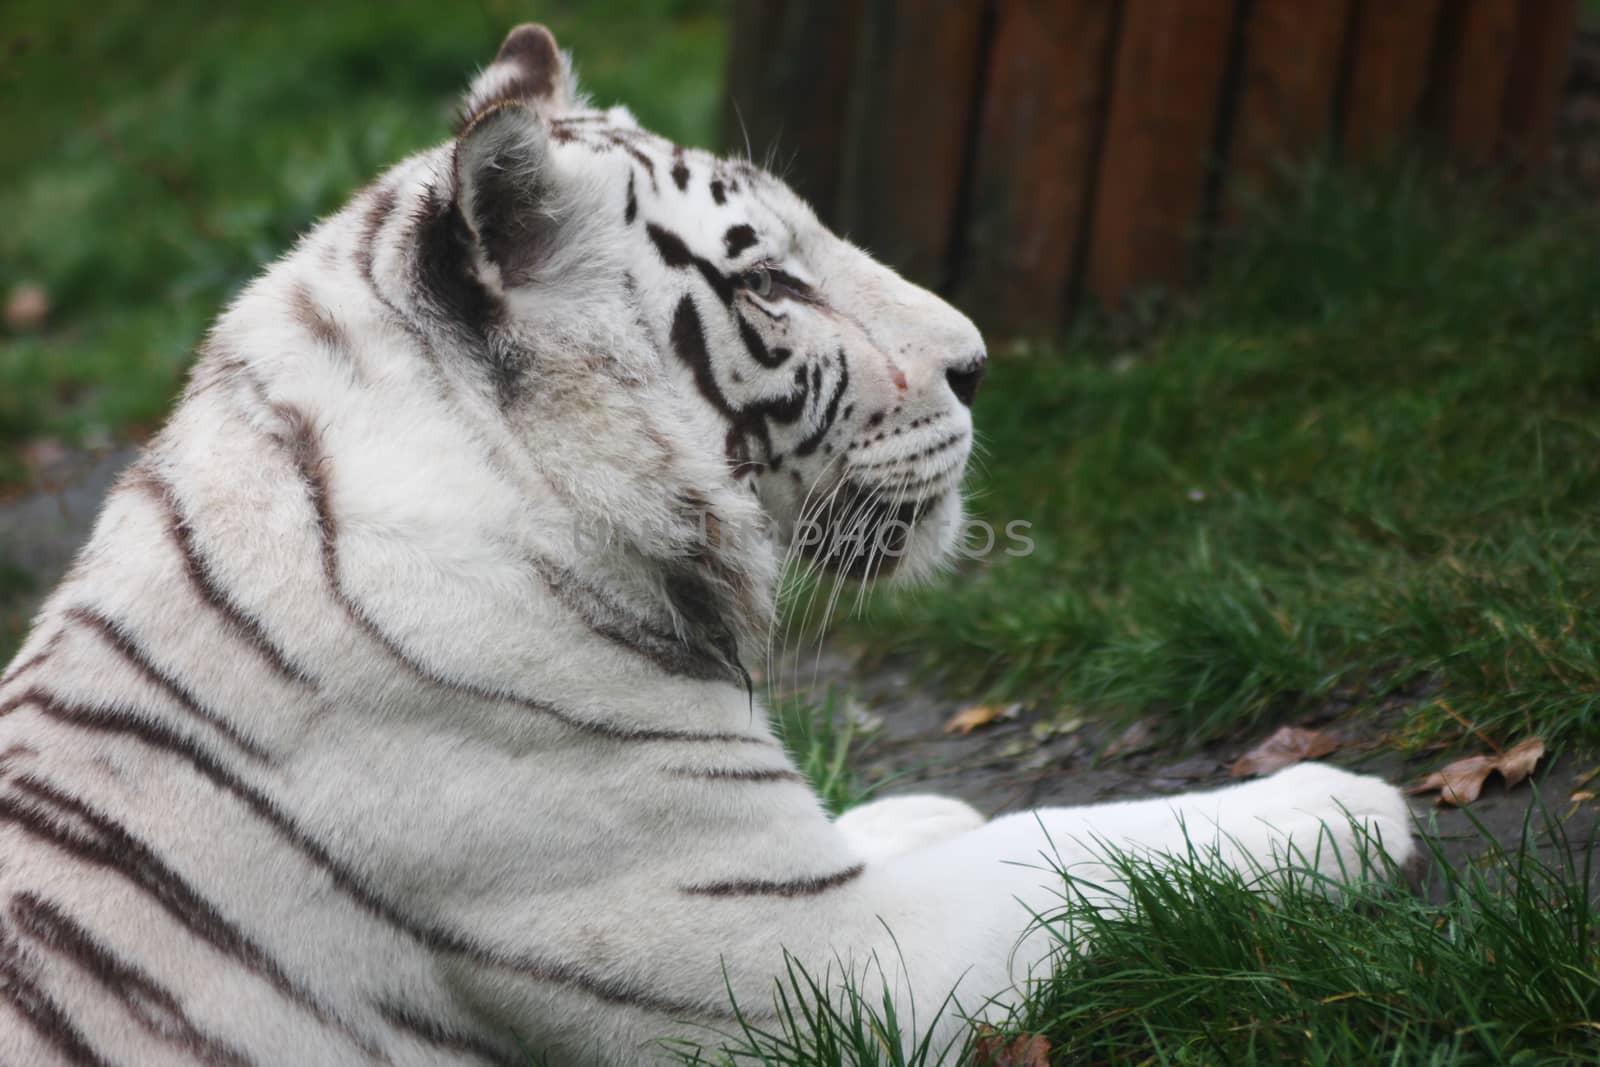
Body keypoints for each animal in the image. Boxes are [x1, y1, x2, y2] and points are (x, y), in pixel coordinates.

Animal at [0, 24, 1414, 1067]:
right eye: (772, 284)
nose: (977, 360)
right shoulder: (822, 970)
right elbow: (1066, 839)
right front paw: (1336, 803)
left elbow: (926, 827)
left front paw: (921, 802)